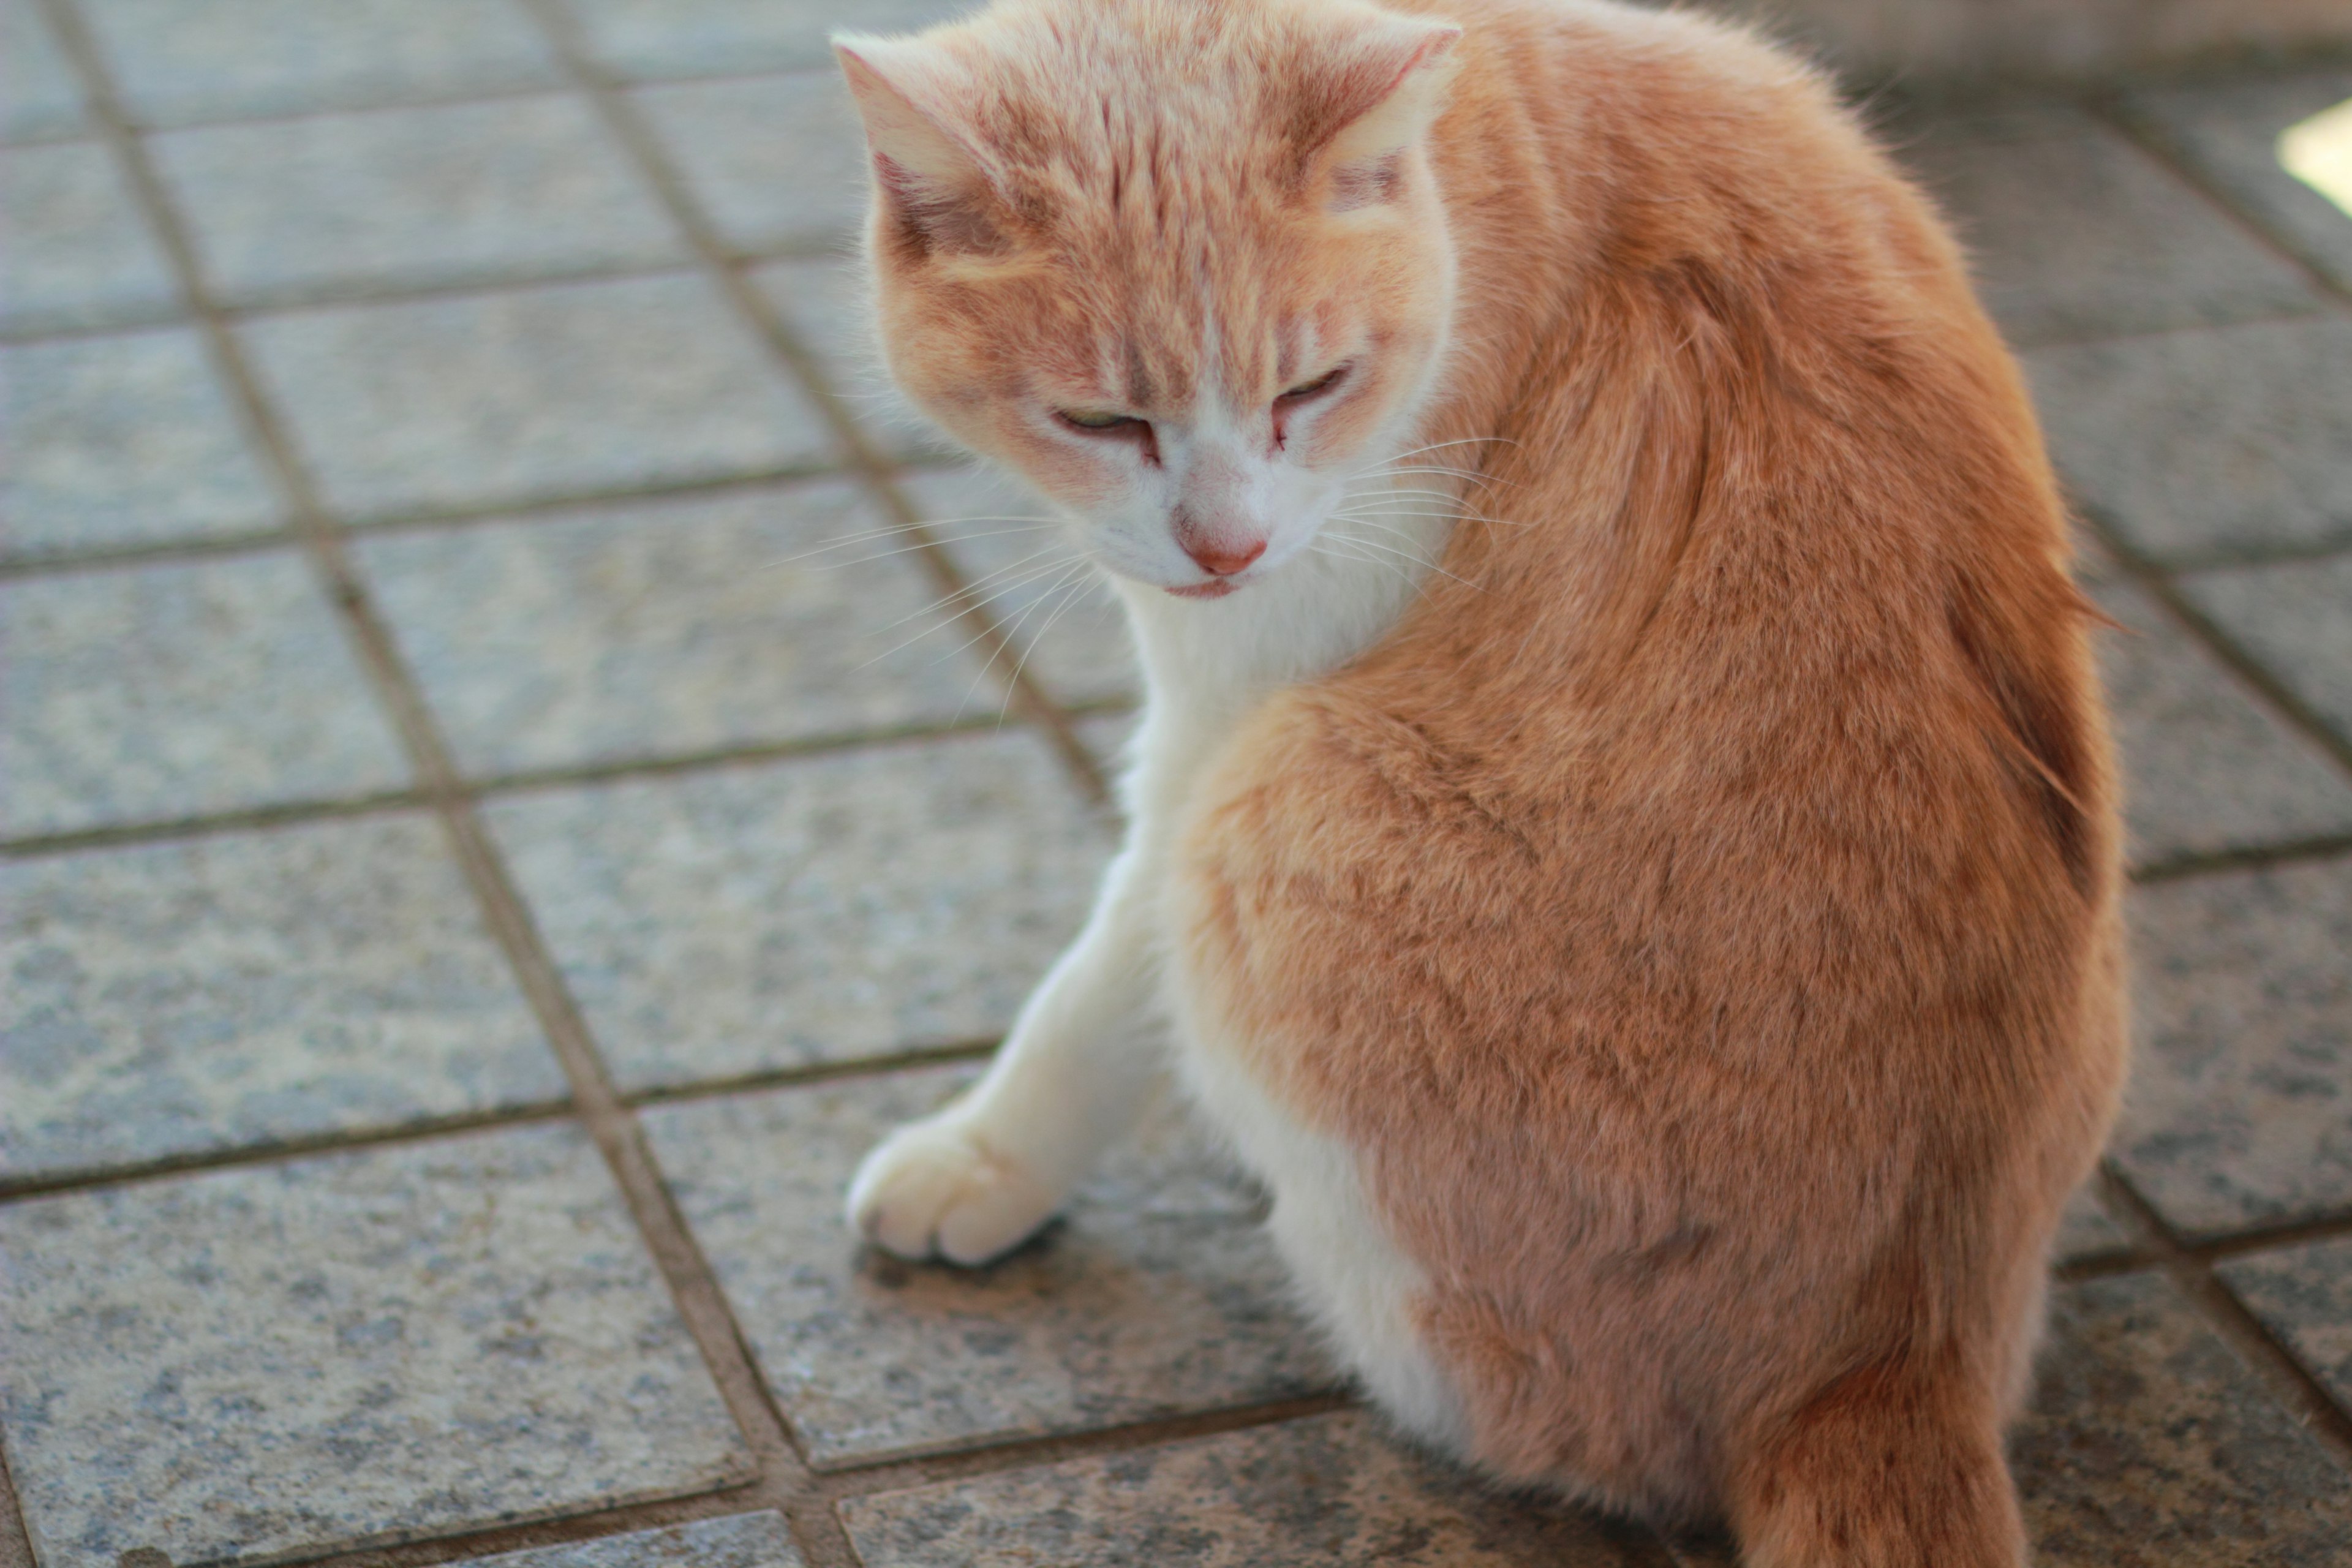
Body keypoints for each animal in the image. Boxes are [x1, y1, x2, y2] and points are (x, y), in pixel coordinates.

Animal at [837, 3, 2126, 1561]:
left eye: (1310, 390)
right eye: (1103, 421)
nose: (1224, 546)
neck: (1491, 151)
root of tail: (1895, 1358)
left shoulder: (1217, 733)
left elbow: (1090, 994)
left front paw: (981, 1158)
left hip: (1270, 817)